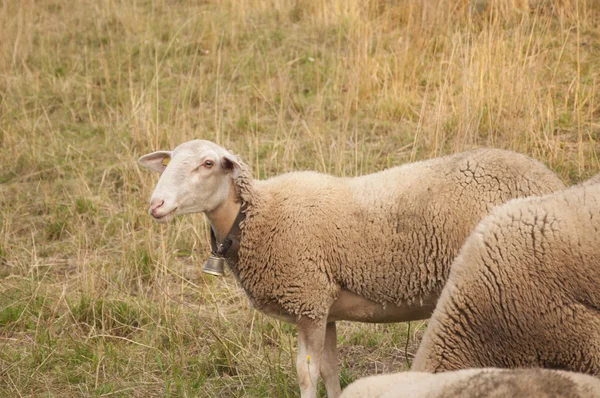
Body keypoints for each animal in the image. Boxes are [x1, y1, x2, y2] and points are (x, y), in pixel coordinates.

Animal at [138, 140, 564, 398]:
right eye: (169, 162)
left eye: (208, 163)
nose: (155, 205)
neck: (257, 214)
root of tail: (550, 178)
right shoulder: (322, 307)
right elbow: (329, 370)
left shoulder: (307, 301)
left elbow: (306, 374)